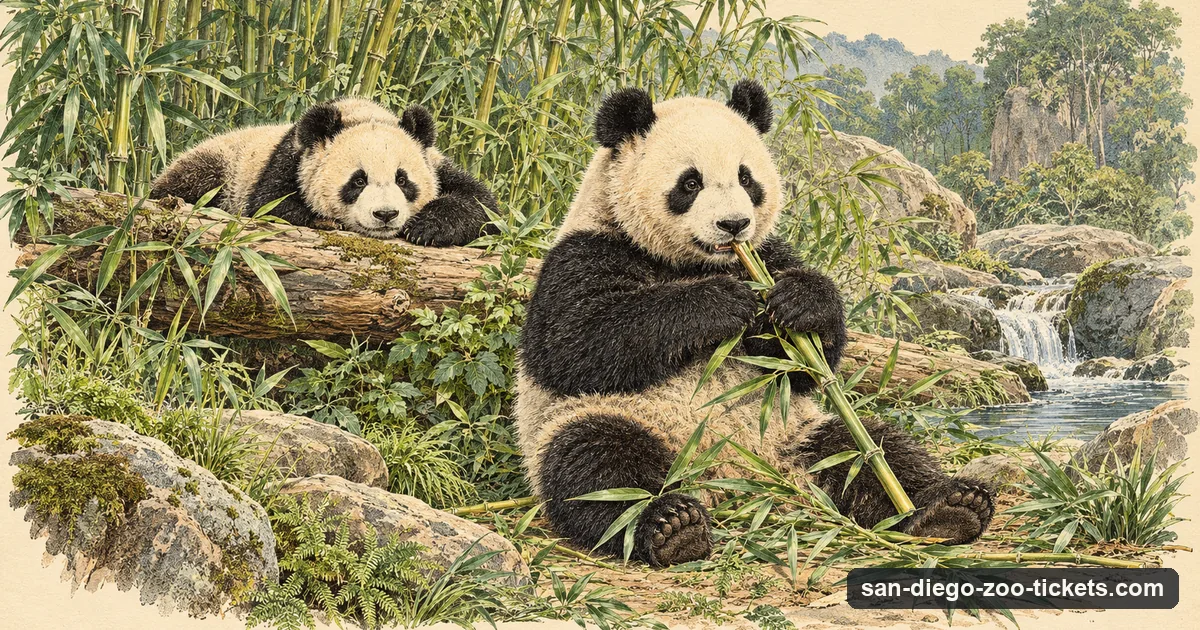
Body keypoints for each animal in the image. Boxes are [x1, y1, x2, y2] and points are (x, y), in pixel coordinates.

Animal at [151, 98, 497, 246]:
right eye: (358, 181)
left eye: (403, 179)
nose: (385, 214)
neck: (359, 113)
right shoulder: (289, 160)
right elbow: (270, 205)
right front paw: (325, 220)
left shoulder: (436, 164)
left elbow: (482, 206)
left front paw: (428, 228)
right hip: (220, 162)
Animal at [514, 81, 995, 568]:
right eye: (690, 183)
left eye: (747, 178)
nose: (734, 224)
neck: (699, 263)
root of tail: (742, 480)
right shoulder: (587, 251)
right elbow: (575, 342)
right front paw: (721, 303)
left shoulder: (766, 255)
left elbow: (806, 367)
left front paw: (801, 303)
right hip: (605, 420)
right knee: (597, 465)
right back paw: (673, 526)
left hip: (799, 433)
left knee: (869, 450)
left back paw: (947, 508)